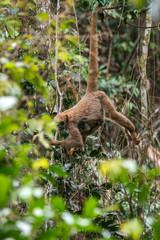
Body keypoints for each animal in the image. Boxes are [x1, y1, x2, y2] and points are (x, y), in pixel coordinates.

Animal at [47, 11, 140, 152]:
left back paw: (132, 131)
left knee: (113, 114)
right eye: (58, 125)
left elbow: (77, 141)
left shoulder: (71, 123)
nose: (61, 128)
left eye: (62, 123)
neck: (67, 115)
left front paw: (51, 142)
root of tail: (89, 94)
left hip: (101, 95)